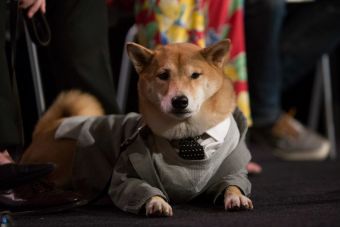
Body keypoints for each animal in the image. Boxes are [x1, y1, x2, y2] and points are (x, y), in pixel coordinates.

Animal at [21, 39, 254, 216]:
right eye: (163, 75)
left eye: (195, 75)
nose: (179, 101)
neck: (188, 136)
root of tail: (49, 126)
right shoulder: (126, 175)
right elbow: (143, 189)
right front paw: (156, 202)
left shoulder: (232, 172)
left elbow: (232, 184)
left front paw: (237, 197)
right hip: (60, 167)